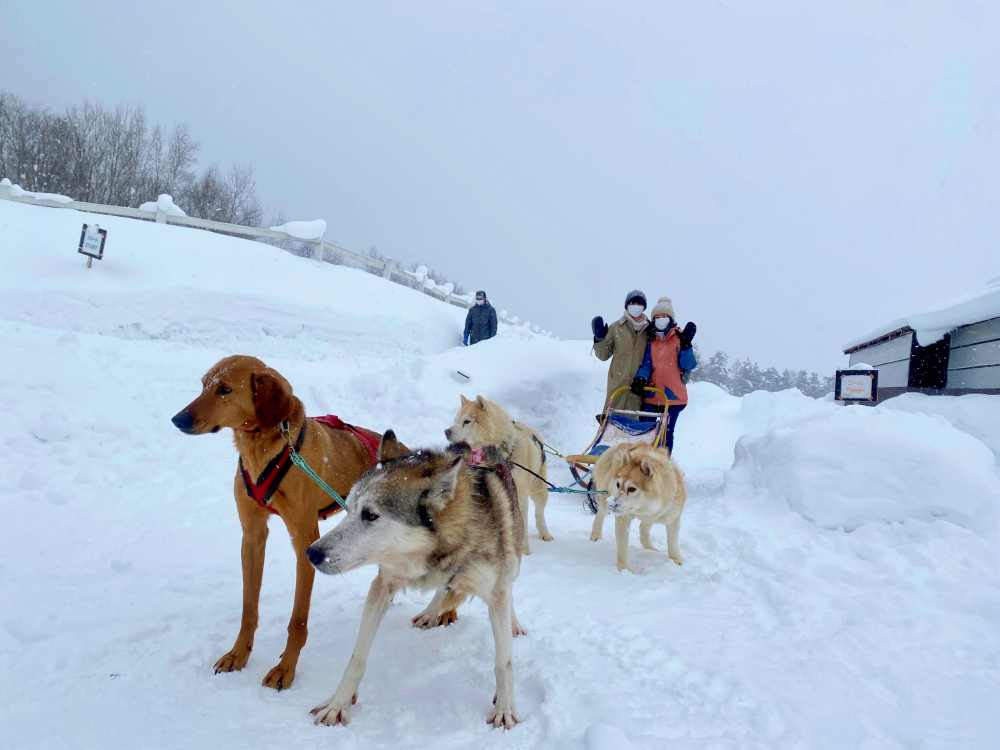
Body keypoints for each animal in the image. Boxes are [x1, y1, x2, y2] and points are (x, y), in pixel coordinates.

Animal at [172, 356, 390, 692]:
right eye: (204, 385)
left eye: (224, 389)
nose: (178, 419)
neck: (263, 448)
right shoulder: (252, 536)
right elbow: (249, 608)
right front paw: (238, 653)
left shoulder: (304, 541)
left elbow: (297, 619)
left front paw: (285, 668)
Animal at [306, 432, 528, 732]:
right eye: (348, 509)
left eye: (370, 515)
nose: (312, 553)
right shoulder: (383, 585)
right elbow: (357, 657)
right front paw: (338, 703)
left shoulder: (495, 592)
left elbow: (503, 662)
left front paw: (504, 709)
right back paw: (431, 611)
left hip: (512, 558)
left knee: (509, 588)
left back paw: (513, 623)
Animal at [448, 396, 556, 556]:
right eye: (455, 420)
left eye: (466, 421)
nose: (446, 431)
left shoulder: (520, 496)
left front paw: (523, 550)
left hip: (538, 488)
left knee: (539, 513)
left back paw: (545, 534)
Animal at [588, 444, 684, 572]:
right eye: (618, 485)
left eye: (631, 489)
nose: (612, 504)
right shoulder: (623, 518)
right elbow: (622, 546)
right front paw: (624, 569)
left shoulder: (673, 517)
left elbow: (672, 542)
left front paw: (676, 560)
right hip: (604, 499)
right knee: (600, 516)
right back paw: (596, 536)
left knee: (643, 528)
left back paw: (650, 549)